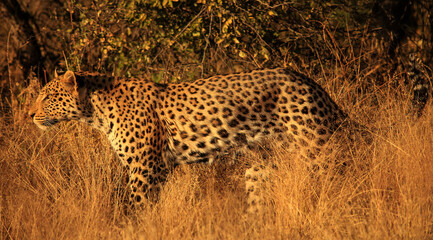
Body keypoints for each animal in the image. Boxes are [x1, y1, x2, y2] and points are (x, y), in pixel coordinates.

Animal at [29, 67, 348, 214]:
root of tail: (310, 83)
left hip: (316, 149)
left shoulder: (145, 169)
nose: (29, 114)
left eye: (47, 96)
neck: (96, 112)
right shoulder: (154, 171)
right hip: (261, 166)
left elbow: (138, 207)